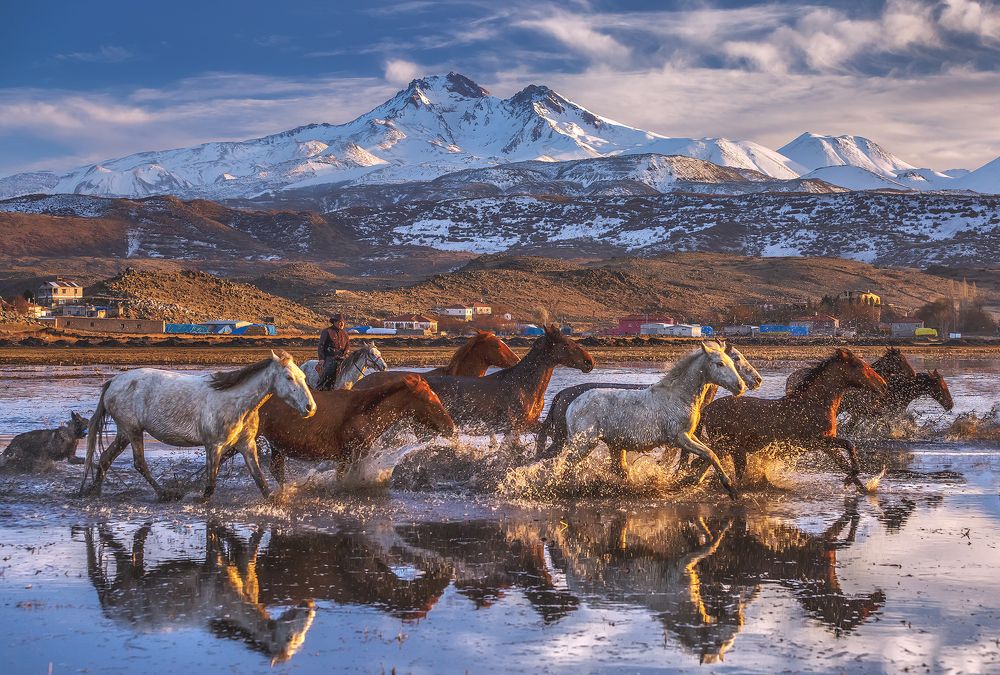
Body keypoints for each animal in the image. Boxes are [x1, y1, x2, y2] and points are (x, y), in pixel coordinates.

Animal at [81, 350, 315, 500]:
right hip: (133, 431)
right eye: (288, 377)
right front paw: (199, 499)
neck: (236, 401)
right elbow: (210, 484)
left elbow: (260, 480)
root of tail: (114, 381)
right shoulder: (214, 446)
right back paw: (166, 494)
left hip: (123, 433)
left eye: (303, 376)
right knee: (139, 464)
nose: (310, 407)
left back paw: (93, 491)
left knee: (105, 458)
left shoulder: (246, 445)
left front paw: (276, 500)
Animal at [257, 374, 455, 484]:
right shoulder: (356, 454)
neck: (364, 412)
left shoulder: (345, 458)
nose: (451, 427)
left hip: (276, 447)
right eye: (428, 400)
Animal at [559, 341, 747, 498]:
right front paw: (730, 488)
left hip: (614, 445)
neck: (679, 396)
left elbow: (711, 453)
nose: (741, 387)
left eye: (732, 363)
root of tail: (572, 405)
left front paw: (698, 480)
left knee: (619, 470)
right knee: (566, 465)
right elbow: (709, 454)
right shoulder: (679, 438)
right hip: (584, 444)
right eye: (720, 364)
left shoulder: (689, 434)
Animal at [697, 348, 887, 491]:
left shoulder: (827, 446)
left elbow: (845, 465)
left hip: (728, 450)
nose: (883, 385)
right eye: (858, 365)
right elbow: (849, 444)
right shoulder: (819, 440)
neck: (815, 403)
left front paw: (862, 487)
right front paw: (852, 478)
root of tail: (707, 409)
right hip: (729, 449)